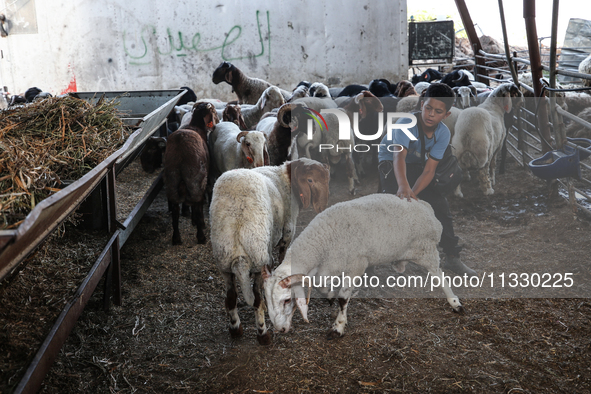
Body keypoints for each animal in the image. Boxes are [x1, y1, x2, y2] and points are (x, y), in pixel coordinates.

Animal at [210, 159, 330, 344]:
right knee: (257, 300)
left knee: (230, 298)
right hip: (259, 256)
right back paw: (263, 334)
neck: (284, 177)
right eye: (310, 180)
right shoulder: (286, 236)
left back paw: (236, 329)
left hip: (224, 262)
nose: (322, 206)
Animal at [262, 194, 462, 338]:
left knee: (439, 275)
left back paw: (455, 302)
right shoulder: (327, 268)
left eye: (287, 300)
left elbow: (343, 298)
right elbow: (322, 287)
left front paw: (338, 327)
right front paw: (329, 296)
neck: (322, 240)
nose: (279, 330)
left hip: (426, 250)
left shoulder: (356, 265)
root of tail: (427, 207)